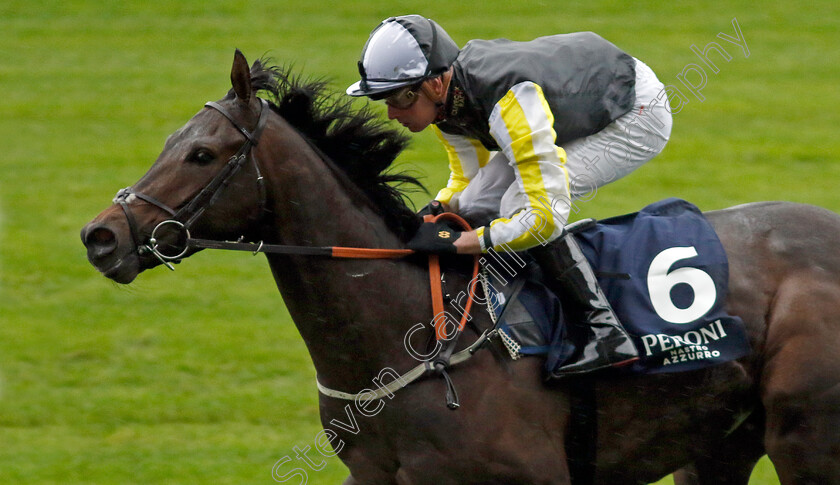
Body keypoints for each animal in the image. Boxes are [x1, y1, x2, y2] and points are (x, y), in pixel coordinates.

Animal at [83, 51, 840, 482]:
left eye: (202, 154)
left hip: (806, 436)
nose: (101, 236)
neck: (408, 337)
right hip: (716, 446)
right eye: (170, 141)